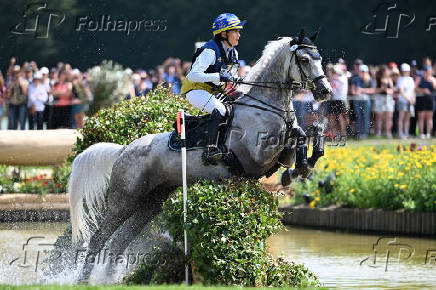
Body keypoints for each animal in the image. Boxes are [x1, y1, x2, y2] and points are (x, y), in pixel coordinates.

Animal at [70, 29, 330, 284]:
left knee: (120, 241)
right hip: (125, 199)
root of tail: (124, 150)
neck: (267, 106)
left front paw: (301, 167)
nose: (325, 91)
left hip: (151, 201)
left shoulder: (278, 156)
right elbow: (298, 135)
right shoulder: (258, 155)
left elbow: (310, 132)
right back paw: (83, 280)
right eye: (304, 60)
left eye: (319, 58)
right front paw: (300, 168)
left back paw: (110, 280)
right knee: (98, 238)